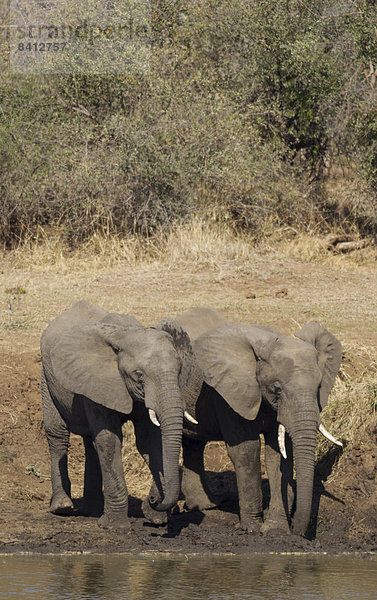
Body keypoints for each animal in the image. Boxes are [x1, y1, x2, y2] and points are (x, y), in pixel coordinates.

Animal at [40, 302, 203, 528]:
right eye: (139, 375)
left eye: (179, 371)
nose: (154, 500)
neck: (126, 334)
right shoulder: (96, 380)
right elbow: (110, 440)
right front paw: (114, 525)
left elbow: (149, 441)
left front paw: (156, 518)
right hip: (47, 378)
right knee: (57, 435)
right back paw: (62, 507)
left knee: (90, 442)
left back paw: (92, 509)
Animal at [172, 308, 342, 536]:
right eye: (277, 388)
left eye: (319, 387)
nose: (298, 532)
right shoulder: (229, 393)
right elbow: (247, 450)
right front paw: (252, 529)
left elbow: (278, 455)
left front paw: (275, 530)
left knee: (194, 443)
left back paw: (204, 506)